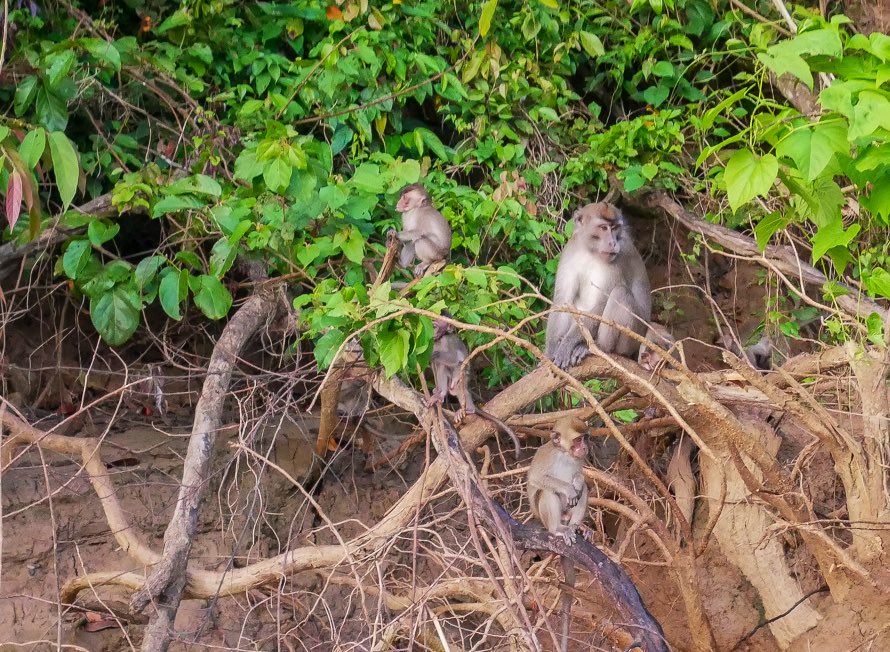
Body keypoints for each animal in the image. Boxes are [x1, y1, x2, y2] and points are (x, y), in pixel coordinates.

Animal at [427, 319, 521, 458]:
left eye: (436, 325)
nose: (434, 331)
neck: (441, 338)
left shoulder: (447, 341)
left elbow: (455, 357)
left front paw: (436, 355)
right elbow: (437, 363)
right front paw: (436, 388)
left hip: (463, 376)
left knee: (457, 379)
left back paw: (468, 408)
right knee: (445, 371)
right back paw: (441, 393)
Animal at [526, 416, 589, 652]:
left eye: (585, 438)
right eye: (578, 440)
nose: (585, 448)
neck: (565, 455)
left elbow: (580, 478)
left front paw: (577, 480)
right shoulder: (548, 456)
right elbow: (536, 478)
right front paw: (568, 488)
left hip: (569, 514)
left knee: (585, 489)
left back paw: (576, 526)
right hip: (546, 517)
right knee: (547, 491)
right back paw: (558, 529)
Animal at [545, 202, 651, 370]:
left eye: (614, 228)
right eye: (603, 228)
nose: (613, 243)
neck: (591, 251)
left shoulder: (618, 261)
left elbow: (601, 303)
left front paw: (567, 345)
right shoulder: (570, 250)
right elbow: (563, 300)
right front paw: (551, 351)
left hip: (633, 339)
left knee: (620, 293)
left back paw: (598, 347)